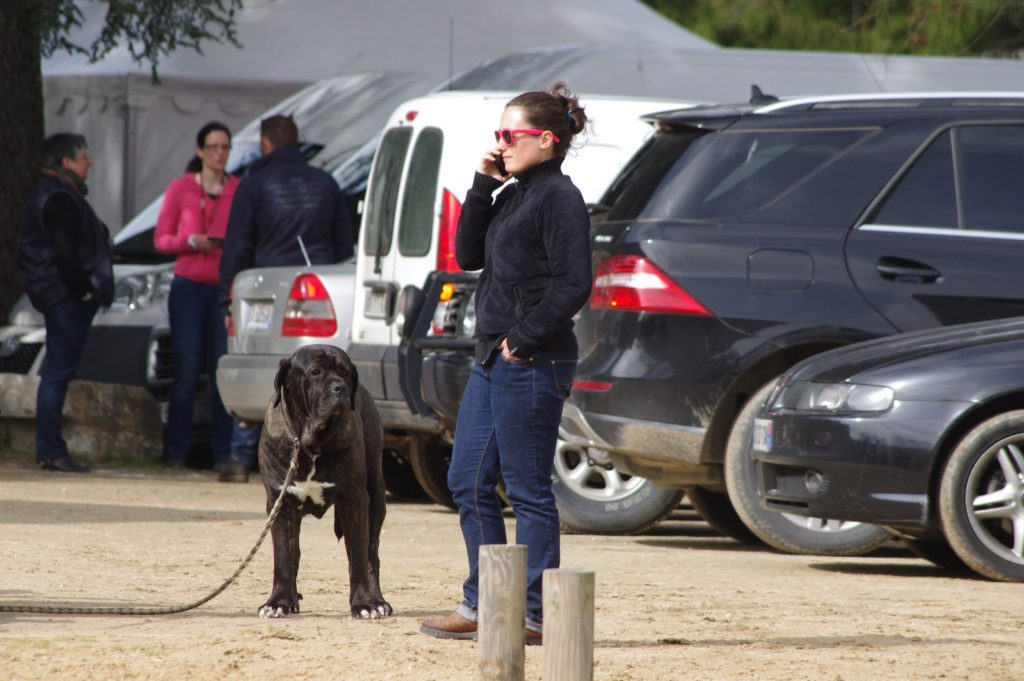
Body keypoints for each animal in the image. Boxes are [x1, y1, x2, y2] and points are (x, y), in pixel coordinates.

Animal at [256, 346, 391, 614]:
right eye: (316, 372)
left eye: (345, 372)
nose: (340, 387)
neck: (310, 443)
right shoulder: (280, 503)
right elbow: (284, 556)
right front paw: (278, 602)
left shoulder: (354, 500)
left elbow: (358, 556)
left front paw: (364, 603)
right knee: (295, 554)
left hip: (376, 496)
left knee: (371, 554)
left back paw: (378, 601)